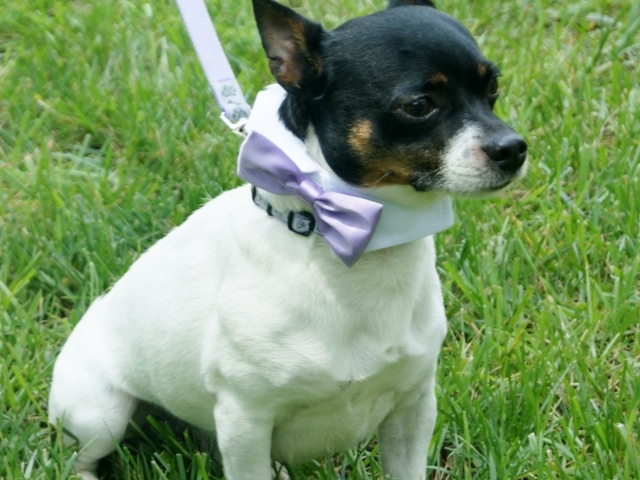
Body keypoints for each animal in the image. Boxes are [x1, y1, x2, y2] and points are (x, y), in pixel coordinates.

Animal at [48, 0, 527, 479]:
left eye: (493, 87)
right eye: (419, 105)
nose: (514, 148)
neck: (352, 243)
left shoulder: (412, 409)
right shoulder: (245, 421)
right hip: (99, 415)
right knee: (81, 457)